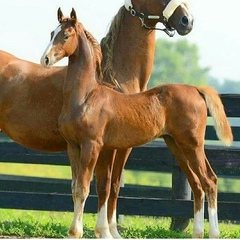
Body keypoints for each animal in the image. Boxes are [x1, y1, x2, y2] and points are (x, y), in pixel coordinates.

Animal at [0, 0, 193, 236]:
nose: (187, 20)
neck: (114, 75)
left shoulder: (115, 147)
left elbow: (113, 186)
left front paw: (112, 231)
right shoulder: (108, 148)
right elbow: (105, 186)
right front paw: (104, 231)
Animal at [40, 8, 232, 238]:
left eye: (66, 35)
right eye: (52, 33)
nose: (45, 59)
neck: (86, 96)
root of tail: (195, 89)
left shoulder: (92, 146)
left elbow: (84, 188)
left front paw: (76, 232)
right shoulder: (73, 147)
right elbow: (75, 187)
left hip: (193, 144)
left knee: (210, 181)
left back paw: (213, 233)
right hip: (176, 145)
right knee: (197, 185)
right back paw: (197, 233)